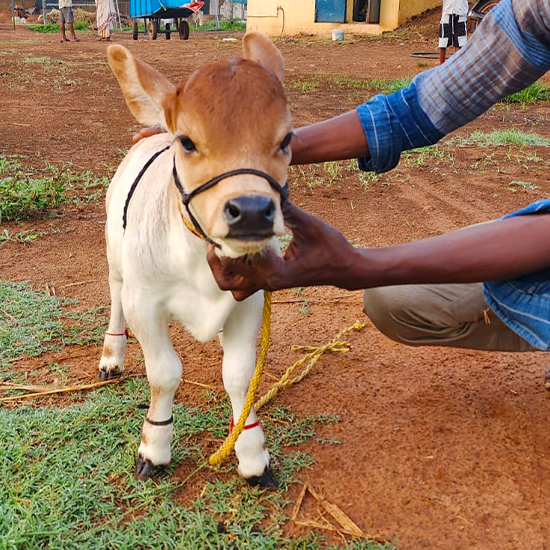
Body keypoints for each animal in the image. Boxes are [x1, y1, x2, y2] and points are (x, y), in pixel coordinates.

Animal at [101, 34, 296, 490]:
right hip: (116, 259)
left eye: (286, 139)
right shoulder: (144, 302)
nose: (252, 210)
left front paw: (253, 455)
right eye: (188, 142)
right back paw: (111, 355)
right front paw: (153, 449)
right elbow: (165, 373)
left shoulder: (249, 300)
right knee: (115, 295)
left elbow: (239, 375)